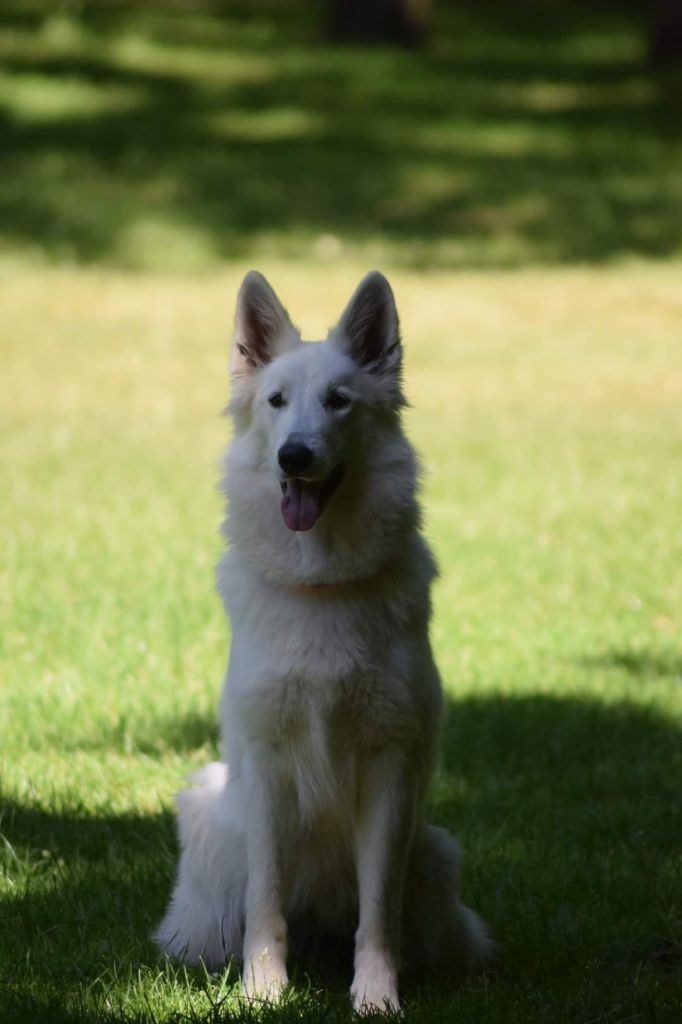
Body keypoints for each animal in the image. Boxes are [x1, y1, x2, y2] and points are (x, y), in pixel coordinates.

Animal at [155, 271, 492, 1012]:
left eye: (339, 401)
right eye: (277, 401)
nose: (295, 455)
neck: (322, 584)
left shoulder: (390, 767)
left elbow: (378, 909)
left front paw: (375, 995)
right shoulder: (266, 766)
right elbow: (266, 898)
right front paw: (262, 989)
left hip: (433, 854)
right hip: (216, 821)